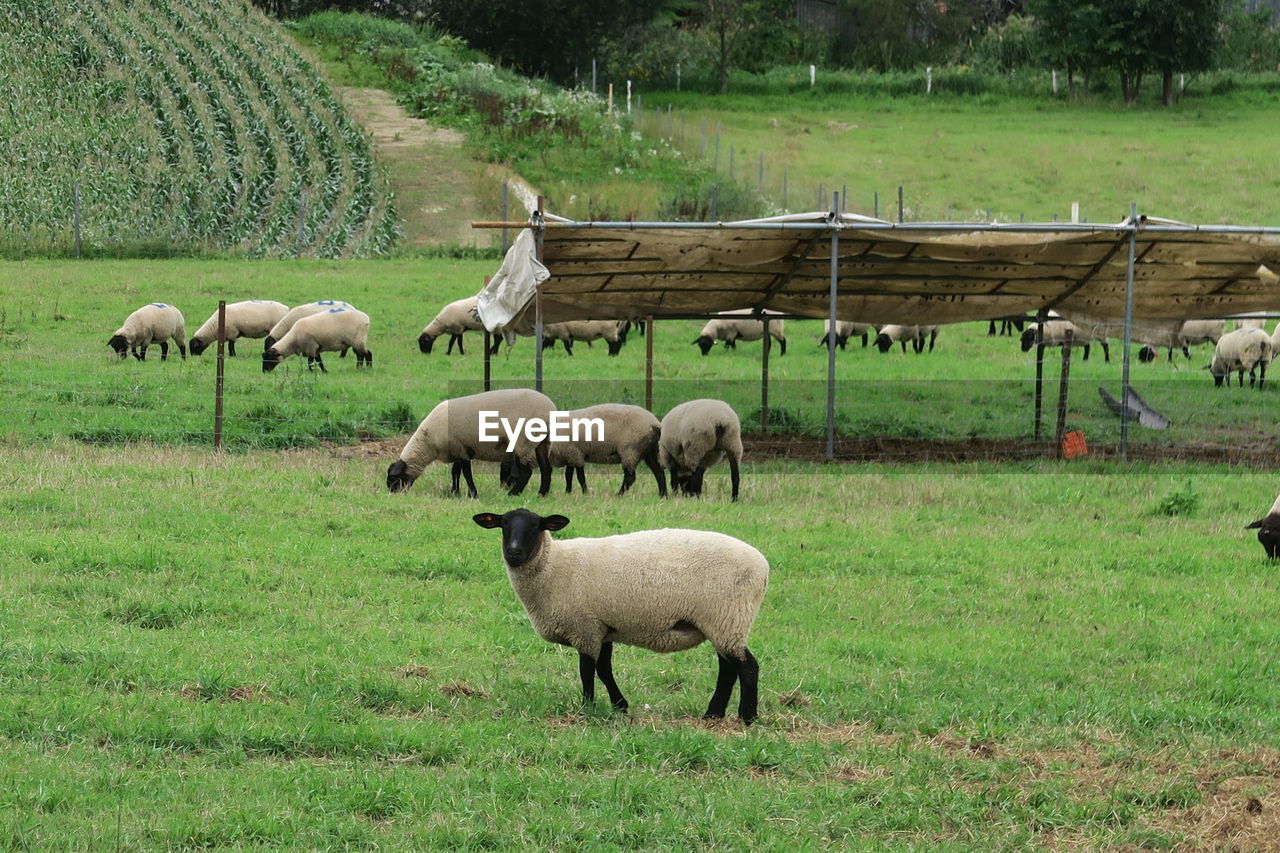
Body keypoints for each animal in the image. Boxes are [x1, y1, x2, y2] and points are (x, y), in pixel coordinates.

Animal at [384, 384, 555, 491]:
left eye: (393, 478)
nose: (392, 493)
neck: (427, 443)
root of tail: (549, 409)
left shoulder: (461, 449)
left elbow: (466, 474)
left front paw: (473, 494)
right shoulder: (457, 450)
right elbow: (455, 472)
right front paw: (455, 492)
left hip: (522, 442)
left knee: (527, 472)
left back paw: (512, 494)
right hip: (542, 442)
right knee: (546, 468)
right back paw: (542, 494)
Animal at [471, 507, 768, 722]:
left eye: (535, 526)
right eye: (503, 525)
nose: (514, 552)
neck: (553, 565)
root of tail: (762, 566)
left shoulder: (585, 627)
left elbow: (587, 671)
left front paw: (588, 707)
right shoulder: (602, 628)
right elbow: (604, 670)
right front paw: (620, 705)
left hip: (728, 617)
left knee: (747, 667)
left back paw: (747, 716)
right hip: (720, 623)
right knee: (728, 668)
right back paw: (713, 714)